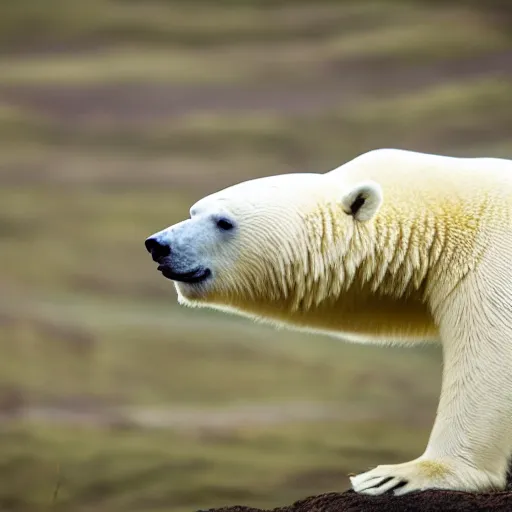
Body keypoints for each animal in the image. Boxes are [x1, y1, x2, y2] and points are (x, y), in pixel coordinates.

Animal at [143, 149, 512, 496]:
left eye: (223, 222)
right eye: (194, 211)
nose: (157, 245)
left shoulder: (491, 256)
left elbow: (492, 353)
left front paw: (396, 476)